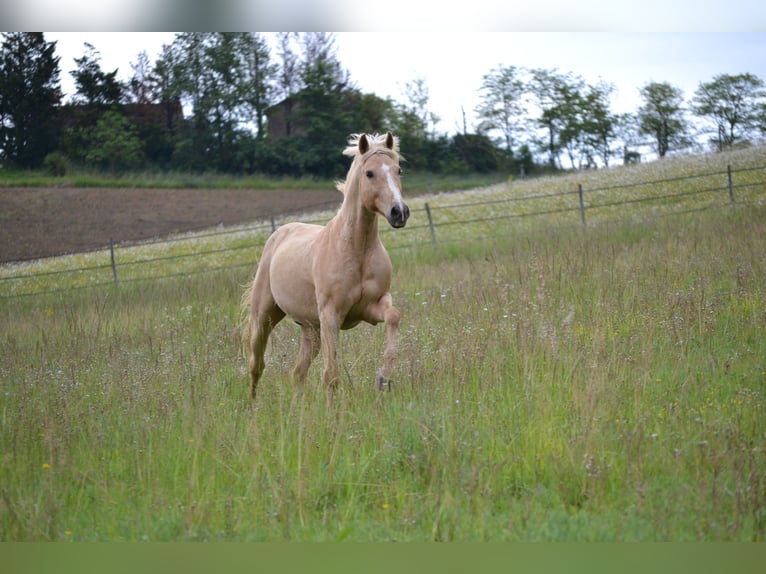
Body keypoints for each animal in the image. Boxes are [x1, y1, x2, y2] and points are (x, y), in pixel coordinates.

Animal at [243, 133, 412, 408]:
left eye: (398, 170)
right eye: (369, 173)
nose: (399, 212)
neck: (356, 249)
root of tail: (280, 233)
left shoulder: (371, 307)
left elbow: (394, 316)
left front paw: (382, 379)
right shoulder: (331, 317)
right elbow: (331, 374)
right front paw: (332, 414)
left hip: (311, 330)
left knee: (297, 373)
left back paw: (297, 410)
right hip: (264, 317)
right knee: (256, 364)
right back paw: (252, 408)